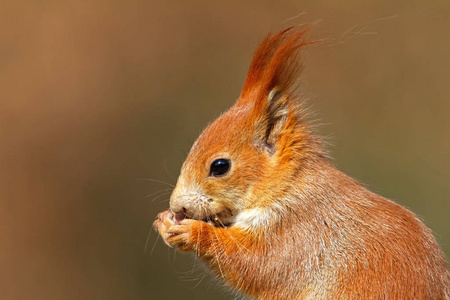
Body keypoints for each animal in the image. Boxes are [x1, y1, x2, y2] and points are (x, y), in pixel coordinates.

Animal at [153, 27, 448, 298]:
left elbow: (256, 263)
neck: (289, 185)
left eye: (220, 166)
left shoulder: (300, 231)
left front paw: (191, 231)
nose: (176, 206)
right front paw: (164, 221)